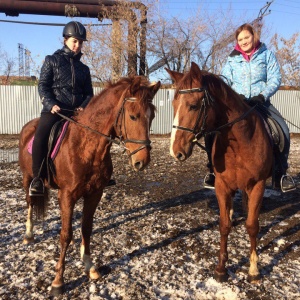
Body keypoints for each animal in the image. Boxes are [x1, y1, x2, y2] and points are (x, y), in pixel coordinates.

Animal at [18, 75, 161, 296]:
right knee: (30, 203)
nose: (142, 161)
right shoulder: (66, 196)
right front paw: (58, 282)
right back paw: (28, 234)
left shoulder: (94, 194)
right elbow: (65, 234)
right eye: (133, 116)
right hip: (27, 178)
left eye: (152, 116)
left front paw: (90, 267)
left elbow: (86, 228)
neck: (86, 146)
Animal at [166, 62, 274, 282]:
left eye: (193, 106)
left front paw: (253, 269)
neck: (240, 143)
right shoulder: (222, 186)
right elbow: (224, 225)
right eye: (173, 105)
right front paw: (221, 269)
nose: (175, 151)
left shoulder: (257, 185)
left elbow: (252, 225)